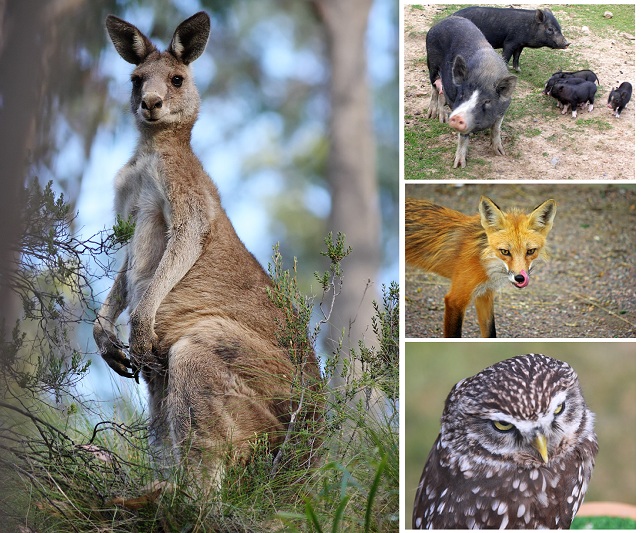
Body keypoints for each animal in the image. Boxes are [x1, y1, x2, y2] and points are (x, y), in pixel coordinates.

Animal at [404, 195, 556, 336]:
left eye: (530, 251)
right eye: (505, 251)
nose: (520, 278)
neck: (485, 262)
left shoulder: (485, 294)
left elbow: (490, 332)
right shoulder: (455, 300)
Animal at [422, 16, 516, 166]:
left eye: (487, 101)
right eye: (462, 94)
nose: (456, 117)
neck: (485, 75)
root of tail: (439, 23)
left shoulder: (503, 108)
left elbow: (496, 129)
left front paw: (500, 153)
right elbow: (463, 137)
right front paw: (459, 165)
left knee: (442, 91)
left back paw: (442, 119)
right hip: (431, 64)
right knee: (435, 88)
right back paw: (431, 116)